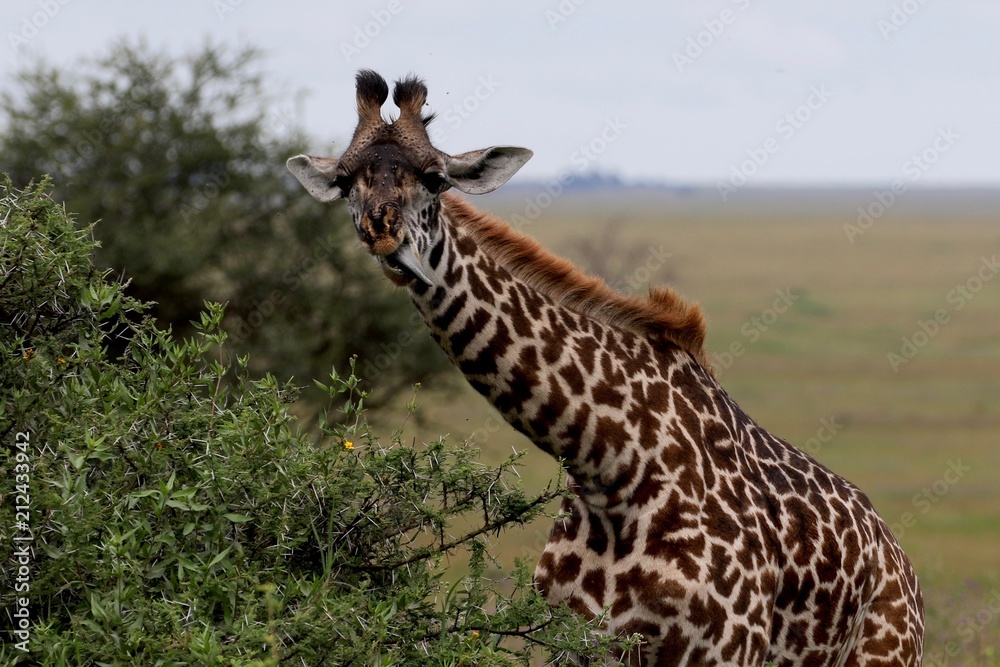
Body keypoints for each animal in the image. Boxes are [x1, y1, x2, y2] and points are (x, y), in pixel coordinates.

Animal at [286, 70, 924, 666]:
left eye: (435, 177)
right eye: (345, 181)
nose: (382, 229)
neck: (610, 467)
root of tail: (901, 564)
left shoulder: (726, 647)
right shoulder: (576, 642)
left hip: (885, 656)